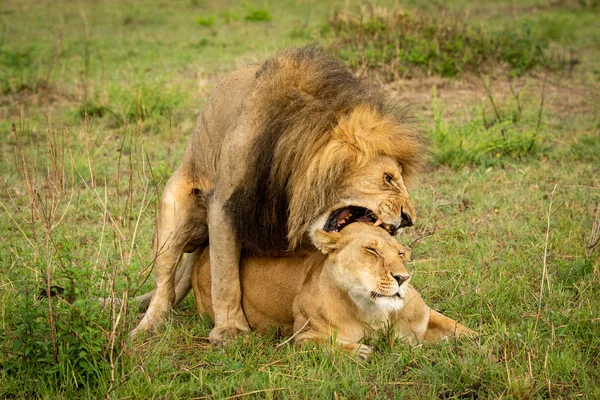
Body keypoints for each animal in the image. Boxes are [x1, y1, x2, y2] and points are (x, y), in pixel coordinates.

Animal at [134, 46, 428, 340]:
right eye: (388, 178)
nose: (408, 219)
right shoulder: (224, 205)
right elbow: (225, 276)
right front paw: (231, 329)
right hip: (173, 214)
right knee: (165, 284)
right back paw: (149, 325)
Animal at [192, 222, 474, 360]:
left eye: (401, 254)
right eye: (371, 250)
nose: (403, 278)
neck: (373, 311)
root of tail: (204, 252)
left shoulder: (424, 319)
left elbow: (457, 327)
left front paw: (478, 342)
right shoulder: (303, 337)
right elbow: (326, 344)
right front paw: (359, 351)